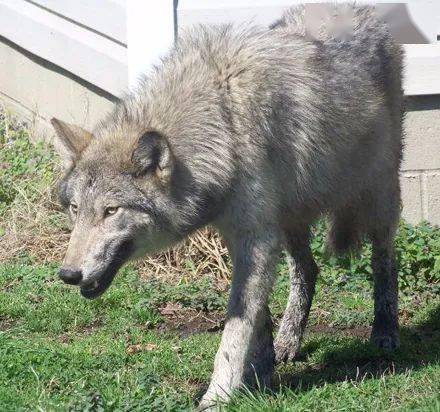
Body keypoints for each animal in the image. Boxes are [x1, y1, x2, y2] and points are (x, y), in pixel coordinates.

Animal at [50, 4, 402, 408]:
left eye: (111, 211)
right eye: (75, 209)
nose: (68, 274)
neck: (223, 126)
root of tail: (356, 9)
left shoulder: (256, 238)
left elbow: (236, 328)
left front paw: (218, 396)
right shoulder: (243, 236)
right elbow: (257, 320)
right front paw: (261, 375)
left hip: (377, 197)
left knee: (386, 258)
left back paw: (385, 331)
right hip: (290, 219)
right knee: (308, 270)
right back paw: (288, 342)